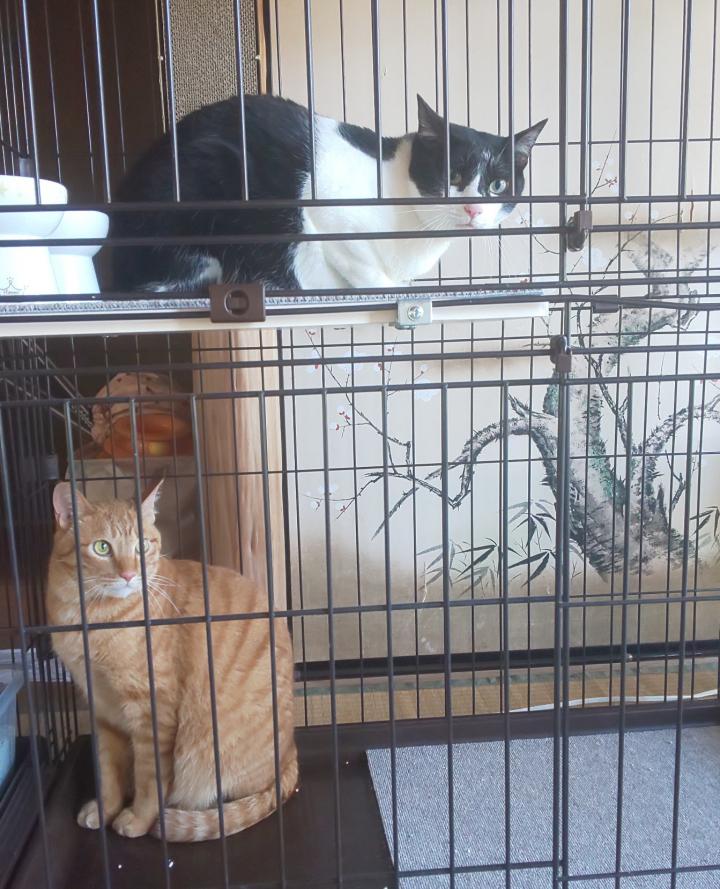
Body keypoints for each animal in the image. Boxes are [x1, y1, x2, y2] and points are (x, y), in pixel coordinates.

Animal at [46, 481, 297, 842]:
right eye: (102, 548)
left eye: (141, 547)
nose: (128, 574)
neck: (90, 618)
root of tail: (291, 751)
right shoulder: (103, 710)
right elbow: (108, 773)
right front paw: (106, 809)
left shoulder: (151, 709)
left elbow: (150, 778)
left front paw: (138, 819)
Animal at [111, 93, 545, 292]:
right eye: (452, 174)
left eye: (498, 185)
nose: (474, 209)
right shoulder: (330, 211)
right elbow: (356, 259)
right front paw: (384, 287)